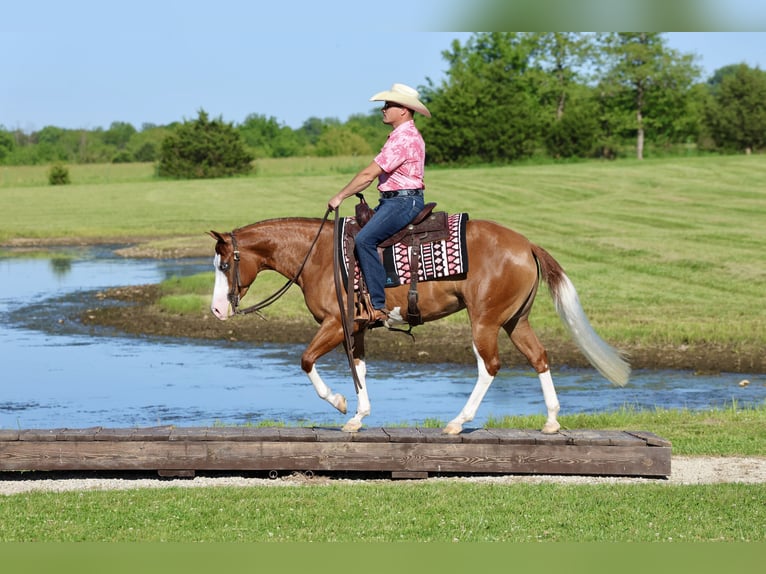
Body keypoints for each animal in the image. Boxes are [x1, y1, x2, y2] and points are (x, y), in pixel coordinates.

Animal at [208, 215, 629, 435]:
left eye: (225, 264)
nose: (215, 310)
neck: (320, 257)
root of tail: (526, 245)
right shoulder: (354, 329)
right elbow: (359, 368)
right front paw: (358, 417)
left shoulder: (334, 324)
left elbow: (307, 360)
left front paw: (341, 404)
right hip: (515, 320)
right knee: (539, 358)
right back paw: (552, 421)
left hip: (484, 321)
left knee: (489, 366)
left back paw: (458, 422)